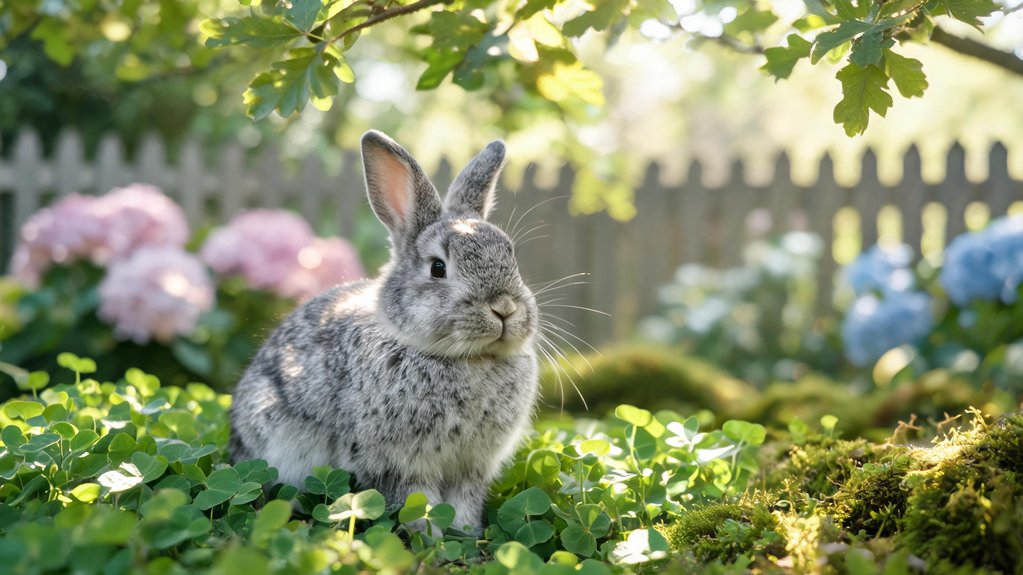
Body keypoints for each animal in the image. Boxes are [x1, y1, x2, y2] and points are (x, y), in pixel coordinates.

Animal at [228, 130, 540, 534]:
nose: (504, 307)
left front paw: (466, 535)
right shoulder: (401, 464)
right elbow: (418, 504)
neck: (468, 358)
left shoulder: (470, 468)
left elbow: (463, 506)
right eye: (438, 268)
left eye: (510, 253)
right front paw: (431, 537)